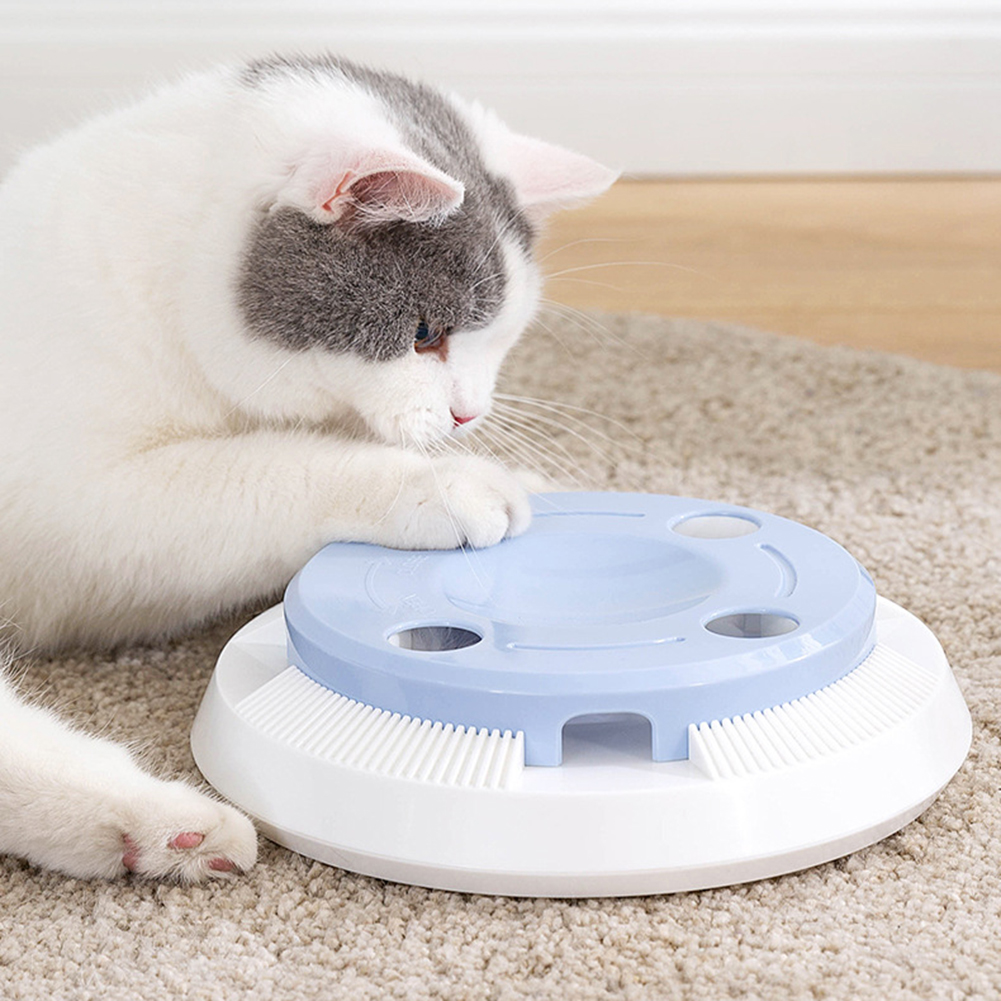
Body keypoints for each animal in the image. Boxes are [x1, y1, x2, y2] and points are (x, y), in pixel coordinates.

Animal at [0, 56, 616, 884]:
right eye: (425, 333)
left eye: (502, 339)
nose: (468, 415)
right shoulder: (70, 510)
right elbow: (271, 469)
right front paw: (449, 483)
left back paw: (156, 831)